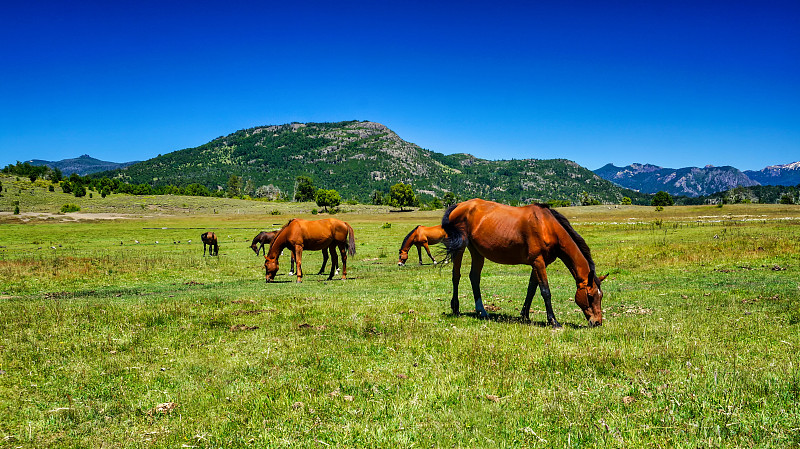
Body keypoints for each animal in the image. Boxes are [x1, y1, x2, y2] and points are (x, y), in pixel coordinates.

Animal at [440, 199, 604, 326]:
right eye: (590, 296)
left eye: (601, 296)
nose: (597, 322)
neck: (547, 226)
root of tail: (459, 205)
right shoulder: (538, 262)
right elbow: (545, 291)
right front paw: (553, 321)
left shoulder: (538, 264)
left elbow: (531, 290)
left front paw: (525, 315)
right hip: (460, 247)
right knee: (456, 276)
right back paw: (456, 308)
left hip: (477, 252)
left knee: (474, 277)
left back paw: (482, 311)